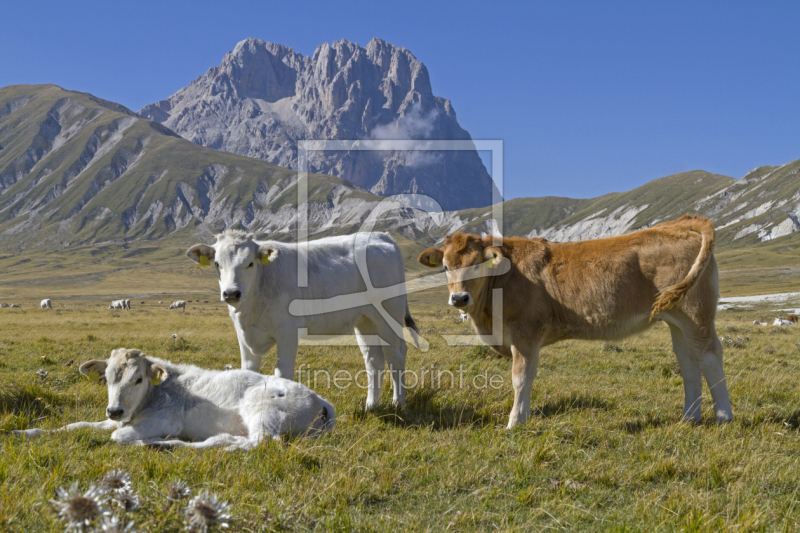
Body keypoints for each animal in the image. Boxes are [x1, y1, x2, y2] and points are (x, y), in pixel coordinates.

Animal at [15, 344, 334, 448]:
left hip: (263, 412)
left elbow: (118, 437)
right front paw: (23, 432)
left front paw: (151, 440)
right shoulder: (115, 419)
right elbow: (74, 426)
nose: (114, 410)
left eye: (138, 378)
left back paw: (167, 445)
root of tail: (321, 400)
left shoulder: (162, 422)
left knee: (259, 443)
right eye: (107, 378)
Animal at [187, 229, 418, 408]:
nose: (231, 293)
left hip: (389, 314)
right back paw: (372, 405)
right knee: (373, 358)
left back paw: (398, 402)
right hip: (365, 320)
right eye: (217, 264)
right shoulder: (244, 335)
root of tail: (381, 235)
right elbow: (248, 371)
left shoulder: (288, 331)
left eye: (250, 263)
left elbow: (282, 373)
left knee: (396, 353)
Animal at [422, 214, 736, 426]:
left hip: (696, 313)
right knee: (688, 362)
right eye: (445, 268)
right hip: (676, 318)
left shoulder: (525, 332)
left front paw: (515, 422)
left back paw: (724, 416)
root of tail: (679, 224)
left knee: (710, 356)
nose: (459, 298)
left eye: (478, 265)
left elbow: (521, 378)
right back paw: (689, 418)